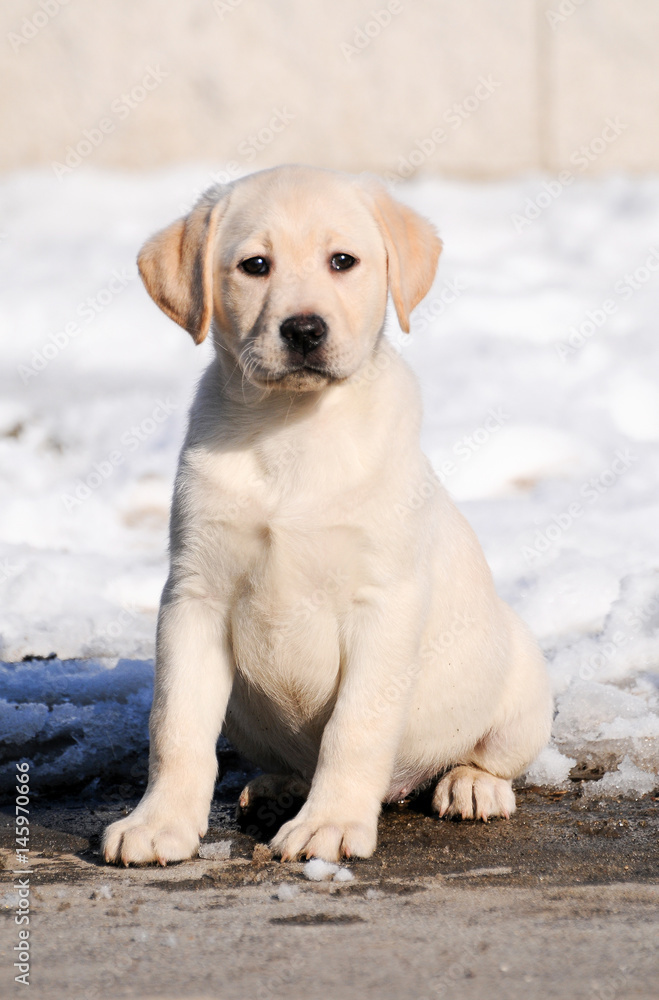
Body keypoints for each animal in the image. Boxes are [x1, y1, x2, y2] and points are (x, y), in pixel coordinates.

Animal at [104, 166, 552, 868]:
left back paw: (471, 785)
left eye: (343, 261)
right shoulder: (193, 597)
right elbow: (175, 727)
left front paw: (331, 824)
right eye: (255, 265)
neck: (292, 430)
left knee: (492, 754)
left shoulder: (384, 605)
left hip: (522, 685)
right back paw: (279, 786)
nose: (304, 330)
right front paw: (159, 822)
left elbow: (355, 727)